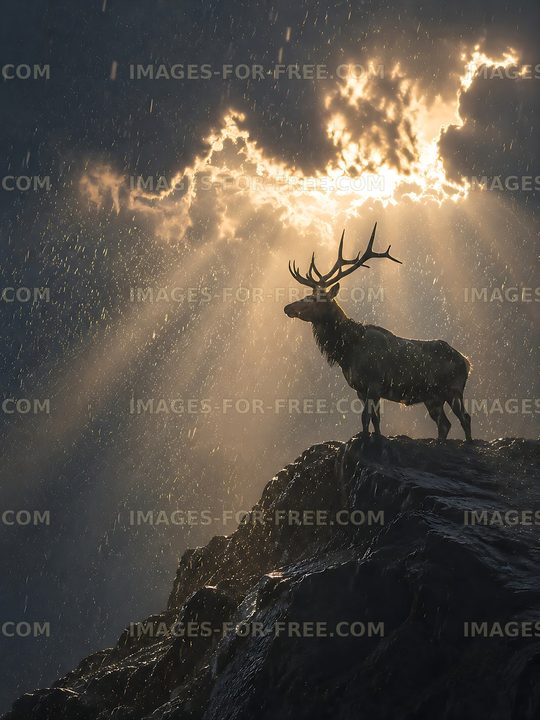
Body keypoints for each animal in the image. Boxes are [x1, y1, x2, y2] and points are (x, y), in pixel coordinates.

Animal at [284, 223, 472, 441]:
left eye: (315, 298)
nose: (287, 308)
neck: (347, 351)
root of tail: (466, 362)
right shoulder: (360, 389)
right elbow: (375, 420)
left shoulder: (373, 383)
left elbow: (365, 418)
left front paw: (365, 439)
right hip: (432, 396)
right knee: (444, 424)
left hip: (453, 389)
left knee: (465, 418)